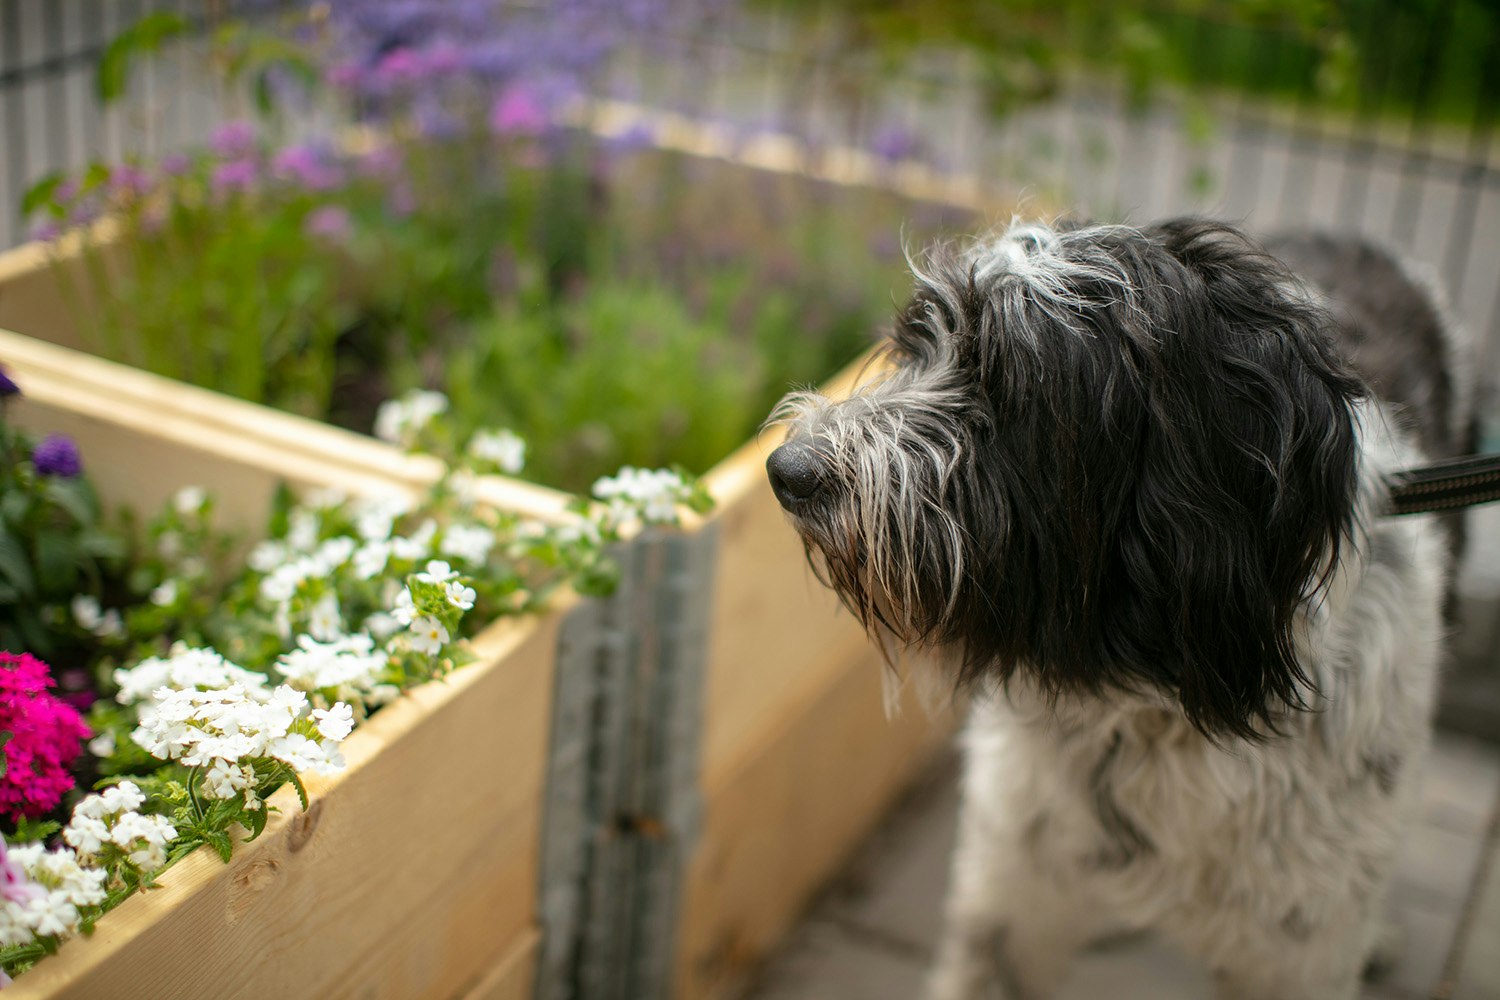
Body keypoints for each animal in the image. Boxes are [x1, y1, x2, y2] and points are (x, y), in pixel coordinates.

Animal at [768, 218, 1470, 1000]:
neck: (1151, 701)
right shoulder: (1009, 886)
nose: (786, 471)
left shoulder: (1299, 951)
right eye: (919, 347)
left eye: (1003, 384)